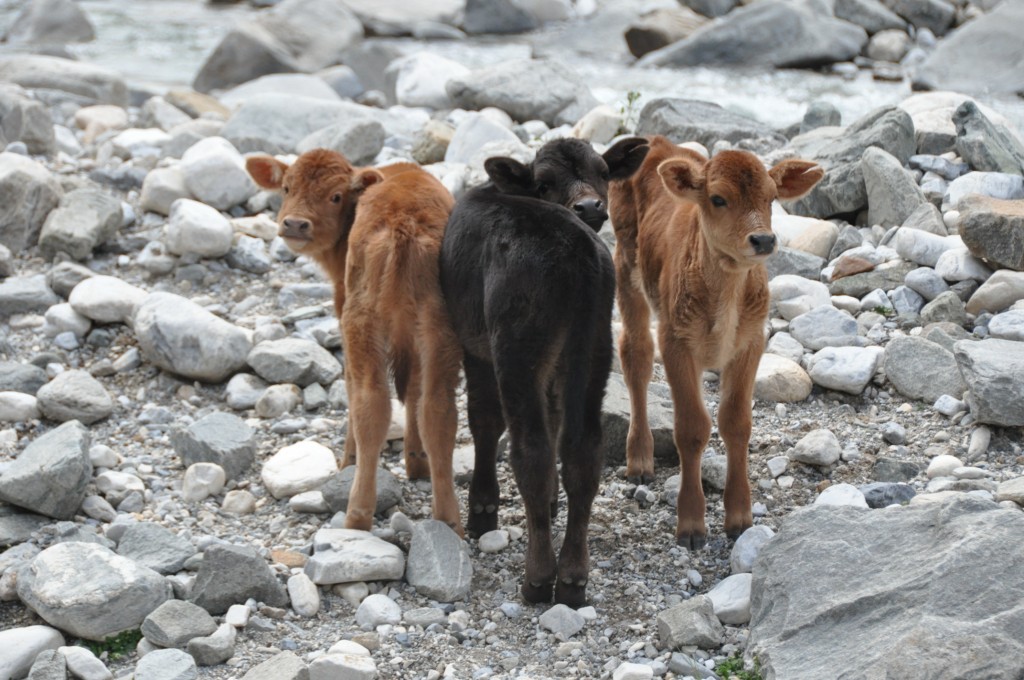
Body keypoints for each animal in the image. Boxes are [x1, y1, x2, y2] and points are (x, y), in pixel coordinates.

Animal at [247, 150, 464, 536]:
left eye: (335, 196)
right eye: (286, 187)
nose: (295, 225)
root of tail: (404, 223)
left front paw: (347, 461)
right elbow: (414, 392)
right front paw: (416, 462)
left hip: (360, 323)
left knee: (369, 402)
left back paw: (356, 516)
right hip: (440, 331)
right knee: (437, 410)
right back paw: (449, 522)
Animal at [440, 137, 647, 606]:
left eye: (603, 172)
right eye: (543, 182)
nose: (590, 206)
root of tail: (577, 251)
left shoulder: (474, 343)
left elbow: (483, 420)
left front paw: (483, 508)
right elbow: (554, 424)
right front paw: (551, 505)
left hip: (517, 344)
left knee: (528, 450)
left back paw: (538, 579)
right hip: (594, 346)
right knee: (582, 451)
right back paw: (572, 578)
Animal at [606, 137, 823, 548]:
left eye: (772, 198)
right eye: (718, 198)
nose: (763, 239)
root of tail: (655, 143)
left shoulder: (750, 343)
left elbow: (735, 423)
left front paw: (739, 518)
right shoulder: (676, 342)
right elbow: (692, 428)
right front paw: (691, 525)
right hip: (626, 270)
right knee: (635, 355)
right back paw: (639, 461)